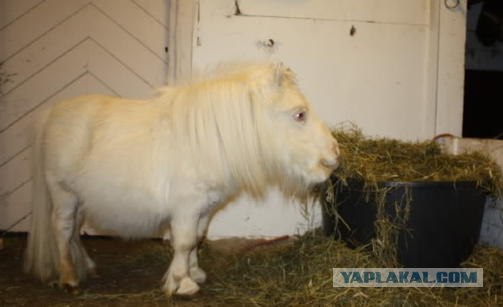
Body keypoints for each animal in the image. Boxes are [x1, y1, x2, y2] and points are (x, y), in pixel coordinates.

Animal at [23, 63, 338, 298]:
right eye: (299, 114)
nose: (334, 155)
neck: (207, 140)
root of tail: (52, 113)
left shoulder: (204, 207)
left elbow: (196, 239)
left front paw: (194, 272)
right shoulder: (186, 207)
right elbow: (184, 242)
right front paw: (182, 283)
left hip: (80, 200)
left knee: (75, 232)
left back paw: (86, 266)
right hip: (63, 194)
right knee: (62, 229)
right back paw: (68, 277)